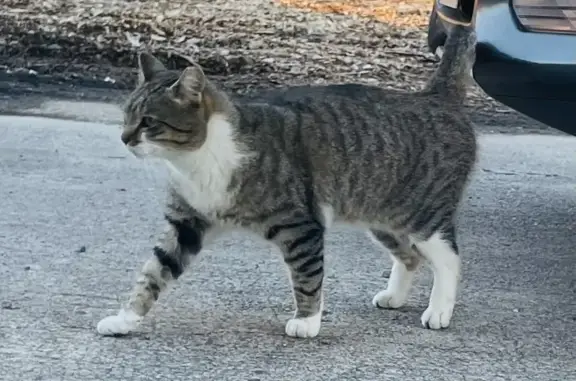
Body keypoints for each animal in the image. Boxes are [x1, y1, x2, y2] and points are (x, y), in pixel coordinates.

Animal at [98, 25, 476, 336]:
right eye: (127, 115)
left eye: (149, 122)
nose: (124, 138)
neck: (198, 160)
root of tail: (435, 97)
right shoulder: (186, 224)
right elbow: (153, 272)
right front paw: (124, 319)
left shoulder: (300, 226)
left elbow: (307, 276)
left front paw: (307, 321)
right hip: (382, 218)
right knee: (410, 256)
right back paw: (394, 296)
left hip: (422, 215)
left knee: (449, 258)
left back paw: (439, 311)